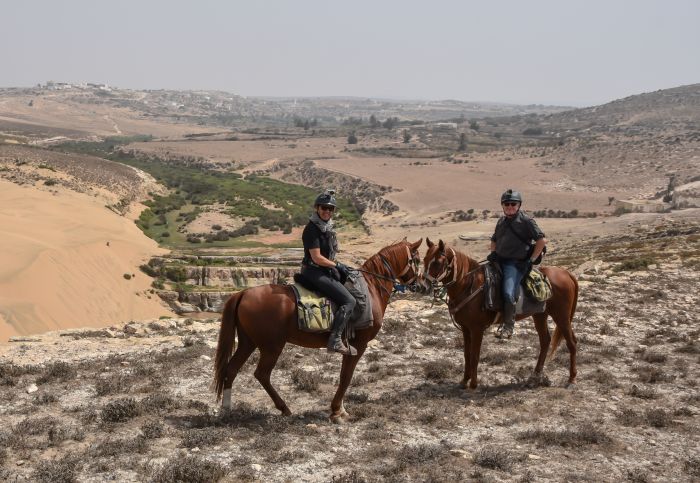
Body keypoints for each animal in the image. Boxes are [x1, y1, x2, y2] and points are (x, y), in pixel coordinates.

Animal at [213, 240, 422, 422]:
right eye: (417, 259)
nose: (420, 285)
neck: (371, 288)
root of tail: (243, 293)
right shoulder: (358, 345)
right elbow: (346, 377)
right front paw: (337, 411)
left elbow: (344, 376)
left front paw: (340, 409)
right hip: (271, 346)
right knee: (262, 374)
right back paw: (284, 408)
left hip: (248, 342)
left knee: (231, 369)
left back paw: (227, 410)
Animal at [422, 240, 580, 392]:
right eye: (424, 259)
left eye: (437, 262)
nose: (423, 286)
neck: (469, 285)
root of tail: (566, 273)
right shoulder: (465, 328)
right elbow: (467, 354)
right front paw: (464, 381)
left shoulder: (477, 329)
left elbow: (475, 355)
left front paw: (473, 385)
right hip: (540, 315)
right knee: (545, 341)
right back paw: (534, 377)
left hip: (561, 316)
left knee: (571, 343)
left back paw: (572, 379)